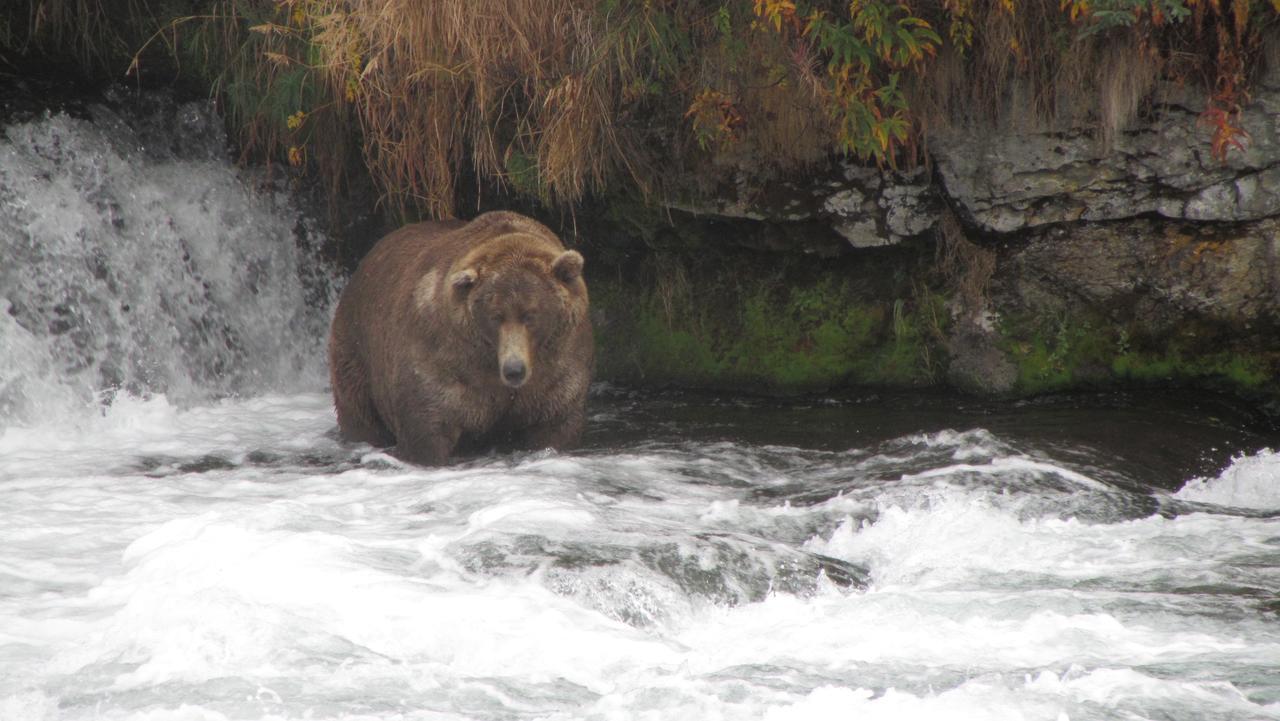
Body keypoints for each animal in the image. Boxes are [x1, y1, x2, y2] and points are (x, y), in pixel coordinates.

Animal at [327, 211, 591, 466]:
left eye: (530, 315)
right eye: (496, 316)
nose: (514, 370)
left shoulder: (555, 376)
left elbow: (555, 425)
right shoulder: (442, 364)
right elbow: (426, 429)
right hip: (356, 351)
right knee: (359, 411)